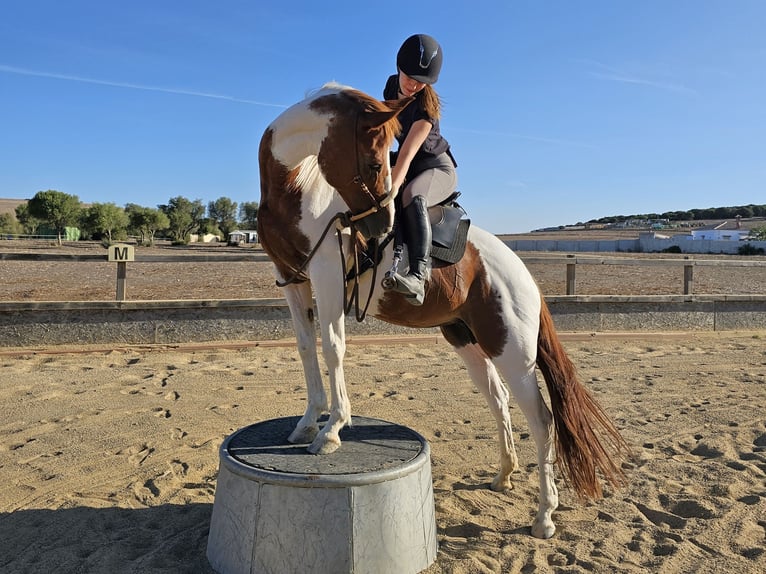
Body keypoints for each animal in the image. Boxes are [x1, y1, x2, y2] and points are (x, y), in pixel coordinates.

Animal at [258, 83, 632, 544]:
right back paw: (504, 476)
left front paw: (331, 432)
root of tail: (522, 274)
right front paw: (308, 423)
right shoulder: (292, 278)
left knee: (542, 420)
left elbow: (332, 348)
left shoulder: (325, 272)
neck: (294, 188)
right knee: (499, 398)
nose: (382, 226)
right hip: (467, 340)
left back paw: (544, 516)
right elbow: (307, 349)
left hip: (514, 353)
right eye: (373, 161)